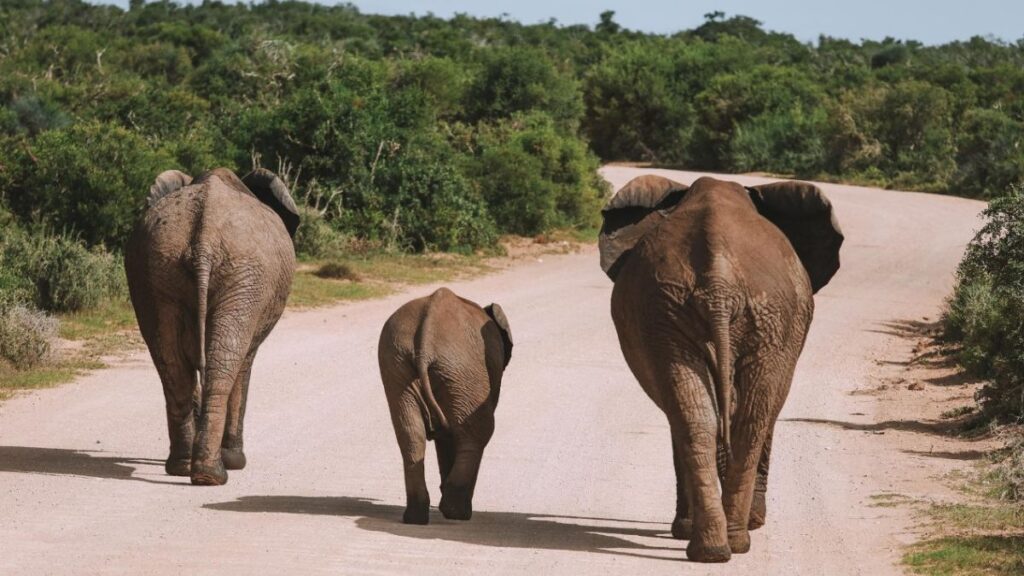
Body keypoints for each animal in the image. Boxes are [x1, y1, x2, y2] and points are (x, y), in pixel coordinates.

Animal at [125, 167, 299, 486]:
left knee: (172, 365)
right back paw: (215, 472)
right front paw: (234, 460)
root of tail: (203, 239)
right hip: (244, 276)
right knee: (225, 362)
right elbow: (244, 365)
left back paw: (184, 467)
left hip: (156, 268)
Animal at [377, 287, 513, 524]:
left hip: (397, 362)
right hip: (462, 369)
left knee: (411, 434)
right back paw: (457, 513)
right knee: (478, 432)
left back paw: (416, 517)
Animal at [599, 174, 842, 562]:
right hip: (726, 314)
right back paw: (730, 540)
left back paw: (714, 548)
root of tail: (719, 284)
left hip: (688, 314)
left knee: (706, 419)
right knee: (743, 419)